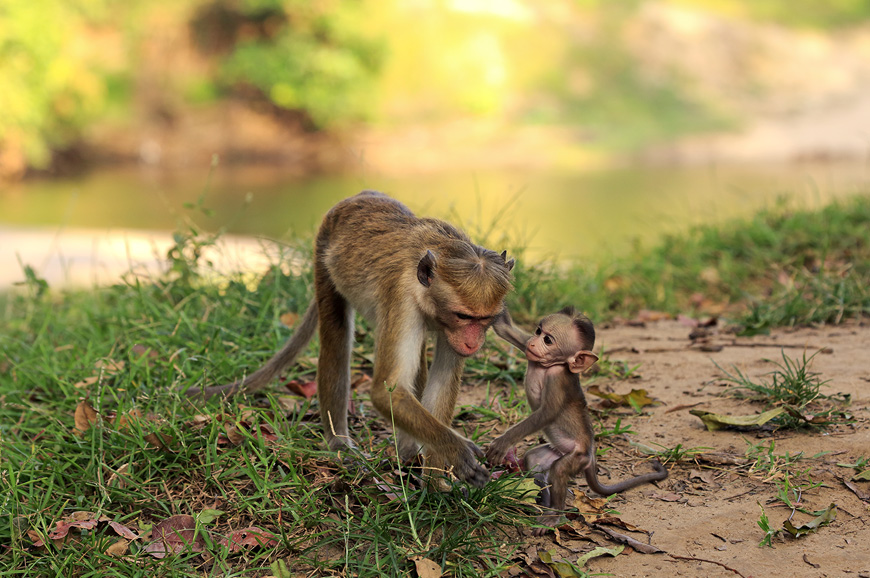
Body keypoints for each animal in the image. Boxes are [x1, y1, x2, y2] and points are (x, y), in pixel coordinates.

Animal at [194, 191, 516, 484]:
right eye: (464, 316)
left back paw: (409, 450)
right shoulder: (401, 300)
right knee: (336, 339)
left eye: (484, 320)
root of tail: (360, 195)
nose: (472, 343)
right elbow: (388, 392)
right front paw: (454, 452)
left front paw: (437, 476)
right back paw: (340, 441)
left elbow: (438, 381)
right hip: (323, 254)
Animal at [490, 306, 668, 532]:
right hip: (556, 452)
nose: (532, 342)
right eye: (538, 331)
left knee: (559, 470)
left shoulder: (557, 378)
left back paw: (553, 515)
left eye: (548, 340)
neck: (549, 366)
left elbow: (547, 413)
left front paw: (502, 443)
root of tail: (591, 454)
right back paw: (543, 501)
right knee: (535, 462)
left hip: (577, 457)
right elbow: (503, 327)